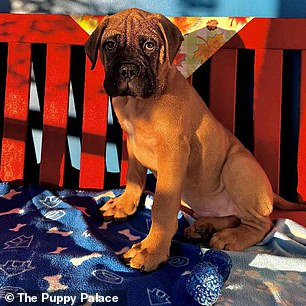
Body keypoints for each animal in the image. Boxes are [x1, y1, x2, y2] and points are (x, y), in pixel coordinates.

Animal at [85, 7, 306, 272]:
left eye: (149, 45)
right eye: (110, 45)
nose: (127, 70)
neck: (139, 104)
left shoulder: (172, 152)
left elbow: (162, 206)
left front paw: (151, 250)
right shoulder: (133, 142)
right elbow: (134, 177)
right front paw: (124, 204)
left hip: (237, 166)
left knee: (263, 224)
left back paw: (230, 237)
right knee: (234, 216)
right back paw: (205, 226)